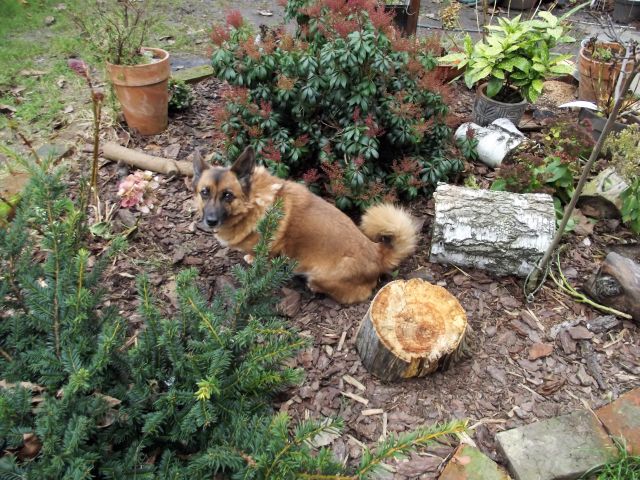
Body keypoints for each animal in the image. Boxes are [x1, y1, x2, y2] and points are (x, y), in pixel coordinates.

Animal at [192, 146, 418, 304]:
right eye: (204, 192)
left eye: (228, 195)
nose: (210, 221)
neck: (253, 201)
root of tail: (377, 253)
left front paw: (253, 261)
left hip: (319, 276)